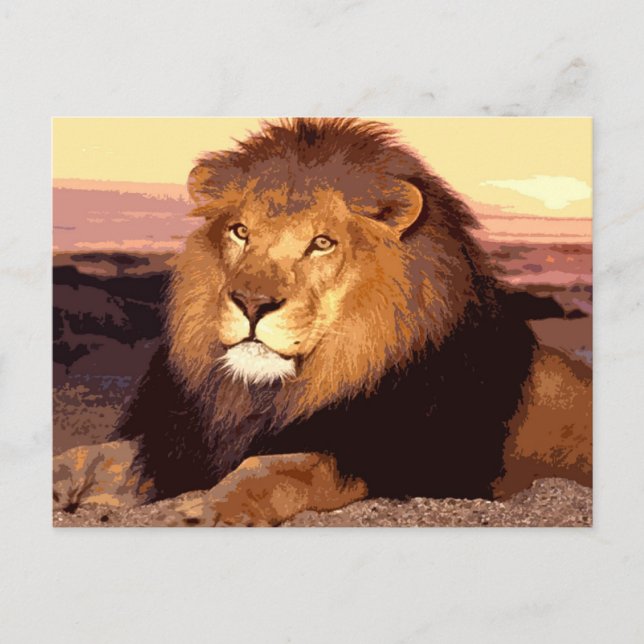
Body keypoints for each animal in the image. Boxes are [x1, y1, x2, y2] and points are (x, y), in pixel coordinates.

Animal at [53, 118, 591, 526]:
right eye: (240, 232)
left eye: (322, 243)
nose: (251, 303)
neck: (266, 395)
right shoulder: (179, 446)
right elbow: (93, 453)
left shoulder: (393, 460)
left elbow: (278, 468)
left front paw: (197, 512)